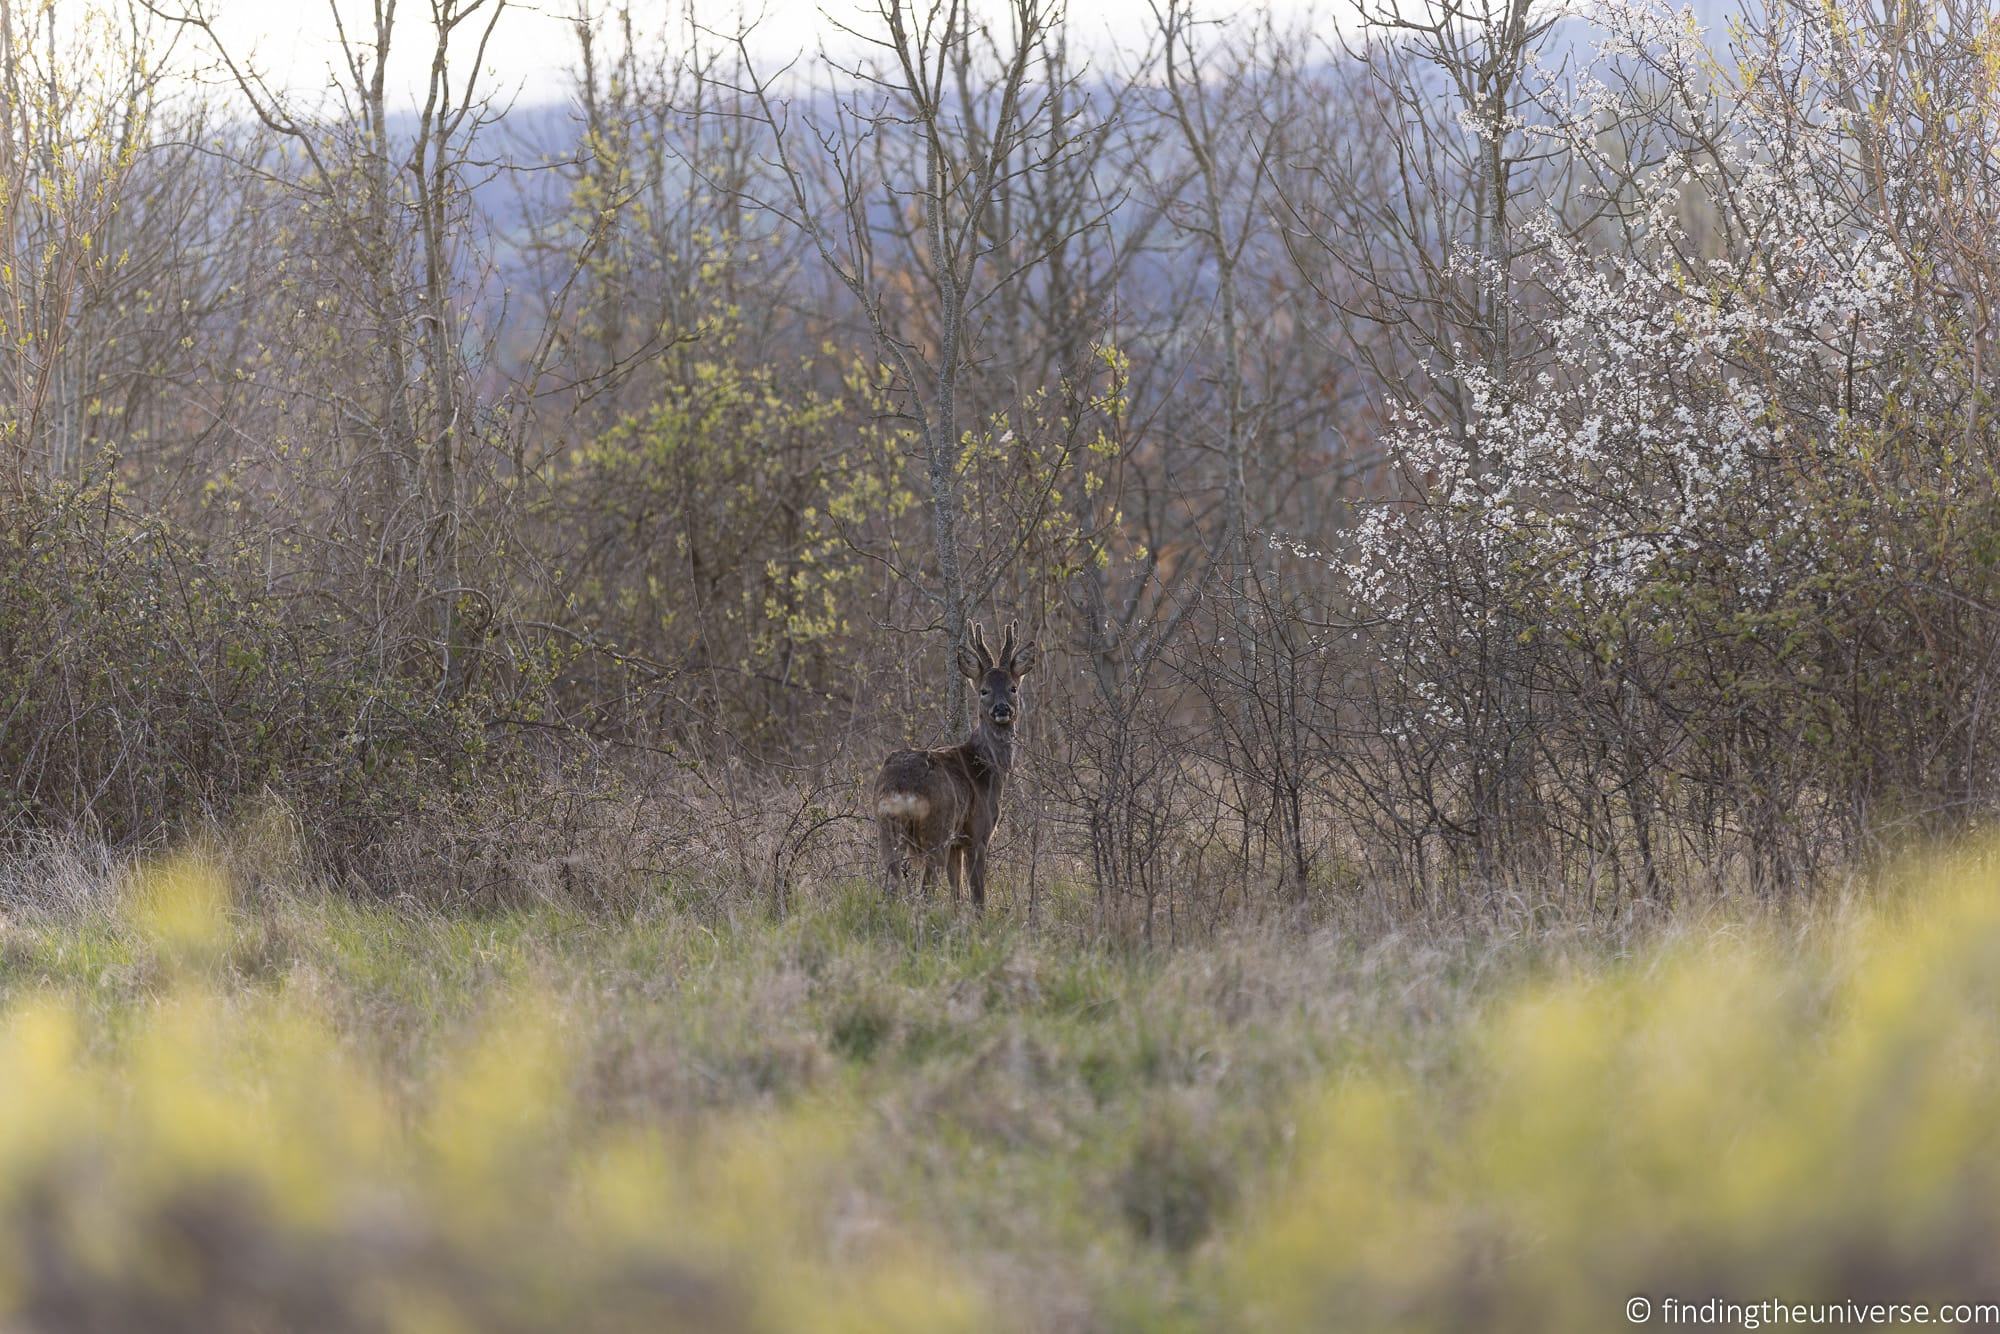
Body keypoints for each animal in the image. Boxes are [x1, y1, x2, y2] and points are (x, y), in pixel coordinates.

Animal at [874, 620, 1038, 910]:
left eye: (1013, 687)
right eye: (984, 690)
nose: (1001, 709)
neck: (989, 768)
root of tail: (902, 787)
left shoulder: (956, 844)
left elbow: (956, 893)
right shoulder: (977, 833)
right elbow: (976, 895)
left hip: (886, 828)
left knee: (891, 884)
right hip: (936, 829)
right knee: (926, 889)